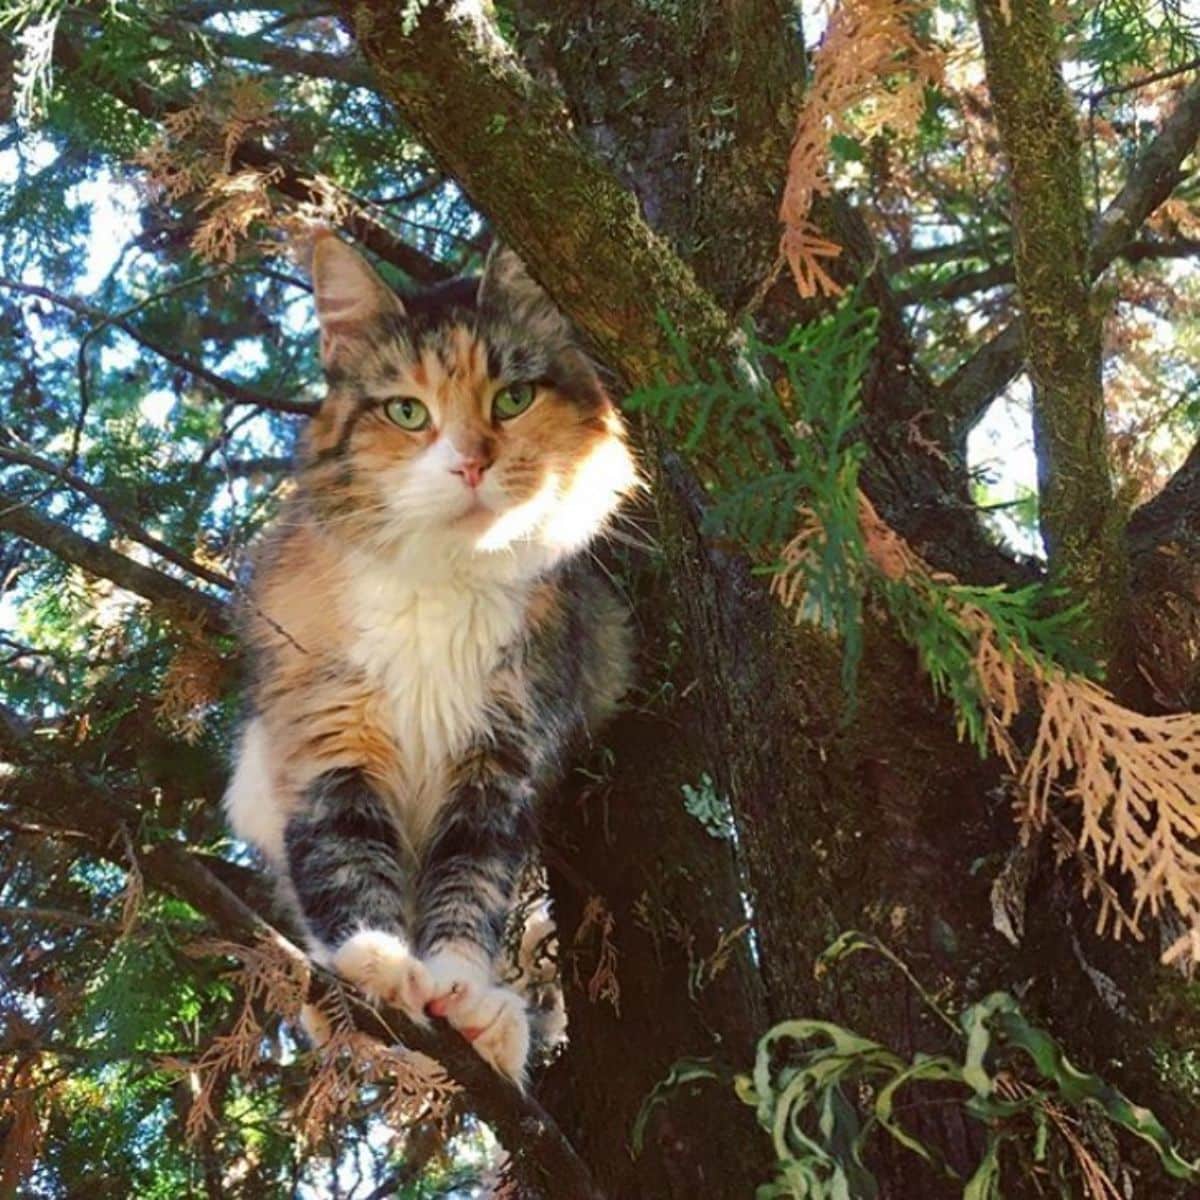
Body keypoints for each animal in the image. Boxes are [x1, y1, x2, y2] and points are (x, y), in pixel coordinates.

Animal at [224, 234, 638, 1089]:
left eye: (512, 399)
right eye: (407, 412)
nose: (472, 463)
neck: (444, 580)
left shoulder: (499, 763)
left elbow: (469, 883)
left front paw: (463, 993)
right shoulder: (328, 738)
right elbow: (345, 856)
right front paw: (375, 966)